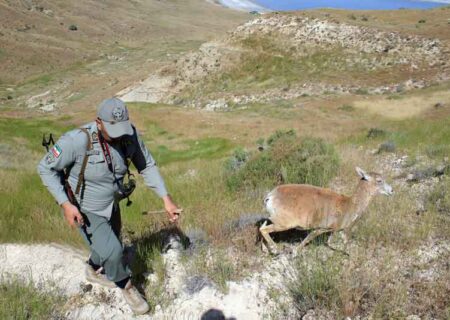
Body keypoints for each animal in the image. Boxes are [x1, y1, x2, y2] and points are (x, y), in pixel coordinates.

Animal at [258, 168, 392, 255]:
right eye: (379, 180)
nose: (391, 190)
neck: (349, 205)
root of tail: (270, 196)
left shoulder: (337, 229)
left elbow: (340, 242)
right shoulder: (322, 228)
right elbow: (310, 238)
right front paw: (295, 251)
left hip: (274, 218)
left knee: (262, 226)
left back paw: (266, 249)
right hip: (284, 223)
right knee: (264, 229)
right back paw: (276, 249)